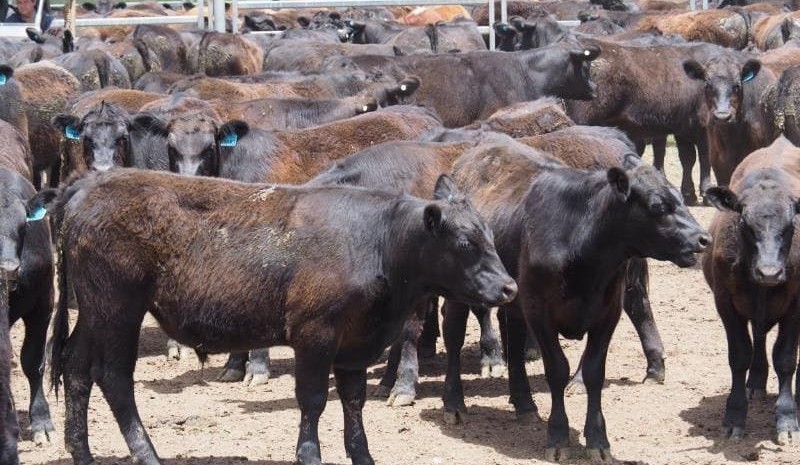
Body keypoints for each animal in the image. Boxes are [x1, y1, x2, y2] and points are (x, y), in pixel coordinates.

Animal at [42, 168, 517, 465]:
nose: (509, 287)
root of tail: (87, 184)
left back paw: (81, 451)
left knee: (75, 367)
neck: (377, 240)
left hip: (95, 312)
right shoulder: (315, 336)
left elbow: (353, 401)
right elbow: (314, 399)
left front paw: (362, 454)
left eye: (490, 236)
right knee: (114, 377)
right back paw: (147, 453)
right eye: (464, 243)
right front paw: (310, 454)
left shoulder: (354, 344)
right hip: (117, 310)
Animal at [703, 135, 800, 445]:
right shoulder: (725, 303)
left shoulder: (795, 304)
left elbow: (785, 359)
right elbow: (739, 356)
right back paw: (755, 382)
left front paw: (787, 419)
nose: (769, 272)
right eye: (745, 223)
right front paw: (734, 416)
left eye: (791, 224)